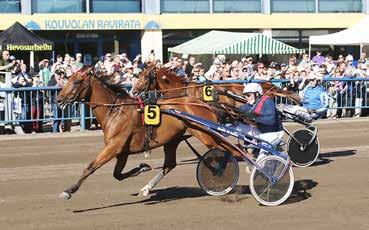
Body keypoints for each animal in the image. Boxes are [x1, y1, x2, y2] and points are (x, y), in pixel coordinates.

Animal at [56, 67, 242, 199]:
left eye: (76, 82)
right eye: (68, 79)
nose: (58, 99)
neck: (115, 112)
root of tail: (202, 103)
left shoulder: (114, 147)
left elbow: (90, 167)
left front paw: (68, 191)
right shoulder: (122, 152)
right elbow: (117, 175)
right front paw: (142, 167)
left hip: (206, 135)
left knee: (231, 152)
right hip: (174, 140)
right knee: (170, 164)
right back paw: (146, 187)